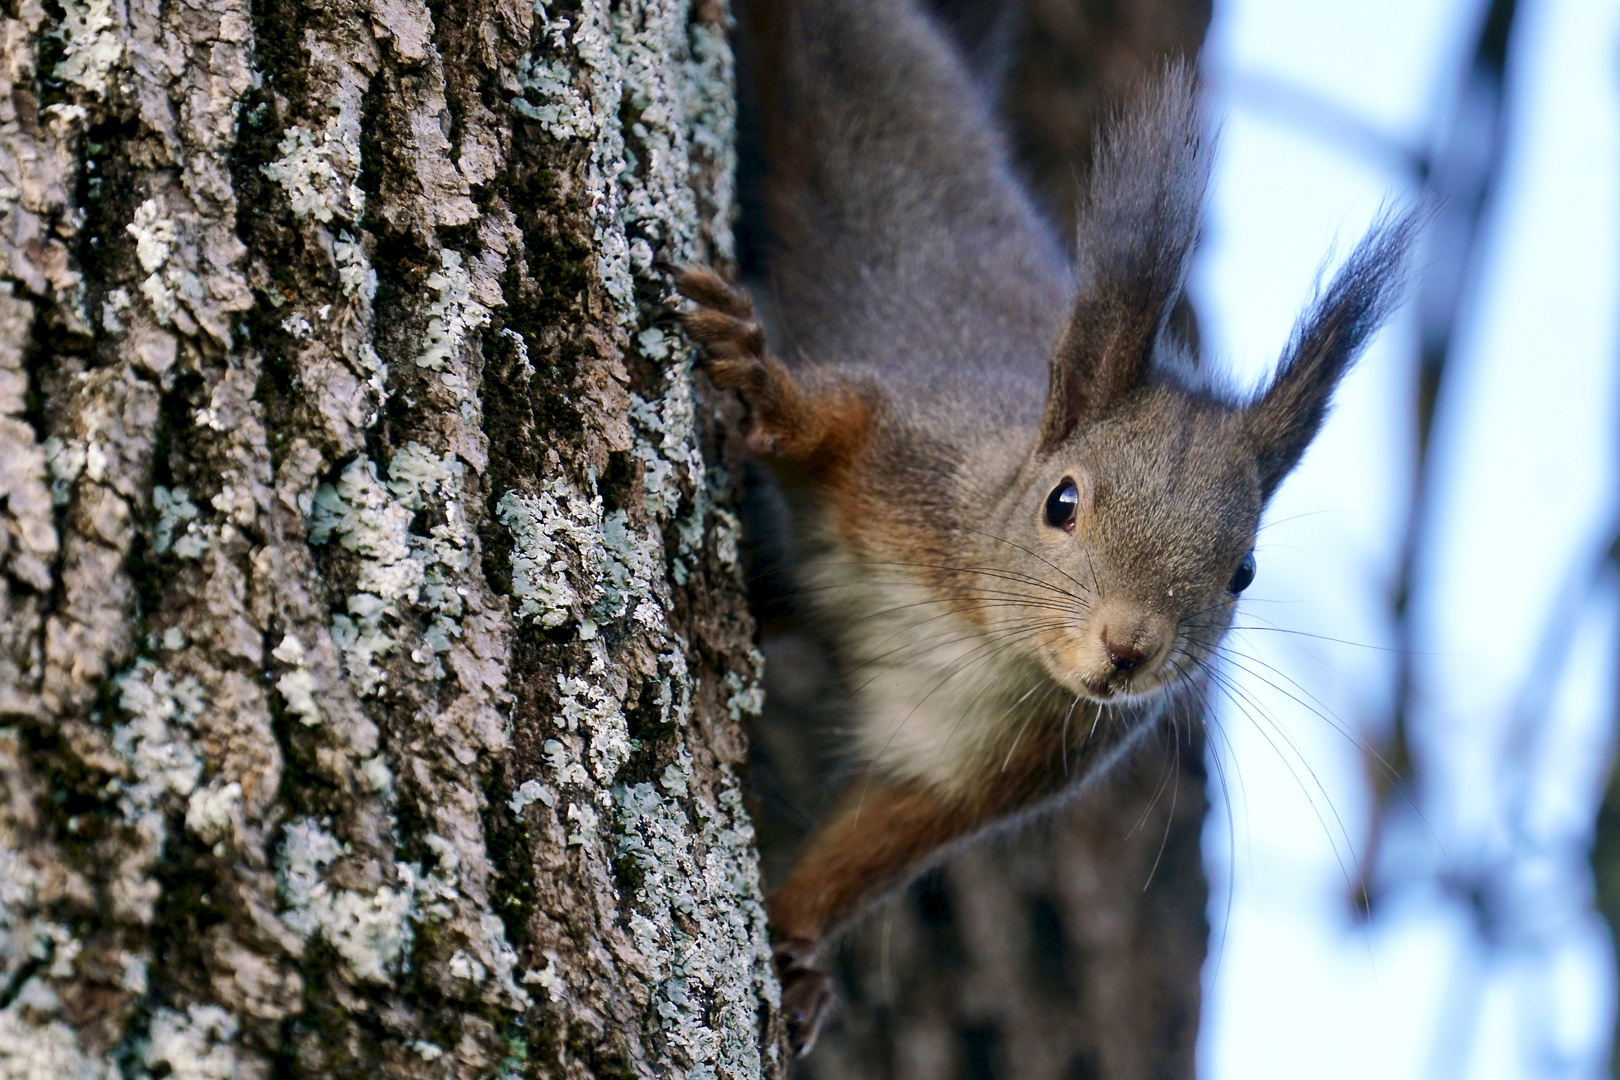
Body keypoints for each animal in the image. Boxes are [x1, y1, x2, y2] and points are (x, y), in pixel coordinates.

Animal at [670, 0, 1419, 1055]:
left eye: (1244, 572)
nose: (1128, 650)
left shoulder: (991, 766)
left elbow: (875, 845)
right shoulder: (912, 455)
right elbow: (833, 417)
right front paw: (757, 376)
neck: (988, 639)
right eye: (1061, 502)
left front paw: (794, 951)